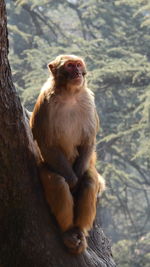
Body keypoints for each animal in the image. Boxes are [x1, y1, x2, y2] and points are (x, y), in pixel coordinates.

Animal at [29, 55, 105, 255]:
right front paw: (72, 180)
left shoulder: (89, 102)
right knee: (57, 181)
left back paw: (79, 229)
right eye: (70, 66)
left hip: (88, 165)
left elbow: (88, 141)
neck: (70, 94)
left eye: (78, 65)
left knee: (89, 180)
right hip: (46, 167)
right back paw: (69, 231)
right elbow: (47, 144)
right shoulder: (45, 104)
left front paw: (77, 180)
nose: (77, 72)